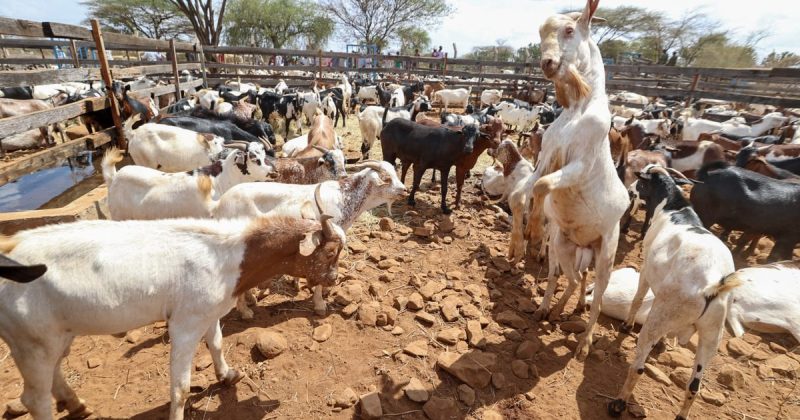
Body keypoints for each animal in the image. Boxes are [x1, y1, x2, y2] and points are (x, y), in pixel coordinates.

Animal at [0, 212, 344, 420]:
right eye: (330, 252)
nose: (334, 279)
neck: (228, 256)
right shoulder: (185, 323)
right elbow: (180, 387)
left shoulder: (208, 311)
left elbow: (217, 344)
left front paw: (227, 375)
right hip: (31, 342)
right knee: (34, 399)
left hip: (56, 334)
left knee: (55, 370)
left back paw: (76, 404)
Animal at [527, 1, 630, 361]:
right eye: (540, 33)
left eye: (570, 30)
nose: (547, 63)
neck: (577, 110)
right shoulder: (546, 155)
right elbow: (531, 185)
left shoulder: (579, 164)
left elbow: (543, 187)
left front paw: (534, 230)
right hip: (565, 246)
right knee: (570, 280)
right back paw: (549, 310)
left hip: (607, 252)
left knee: (596, 298)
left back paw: (584, 345)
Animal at [608, 164, 739, 420]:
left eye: (641, 182)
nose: (629, 191)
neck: (673, 208)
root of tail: (712, 285)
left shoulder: (646, 271)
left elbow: (638, 298)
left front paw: (626, 326)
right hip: (711, 335)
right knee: (694, 386)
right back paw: (681, 415)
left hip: (661, 317)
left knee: (638, 367)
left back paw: (618, 403)